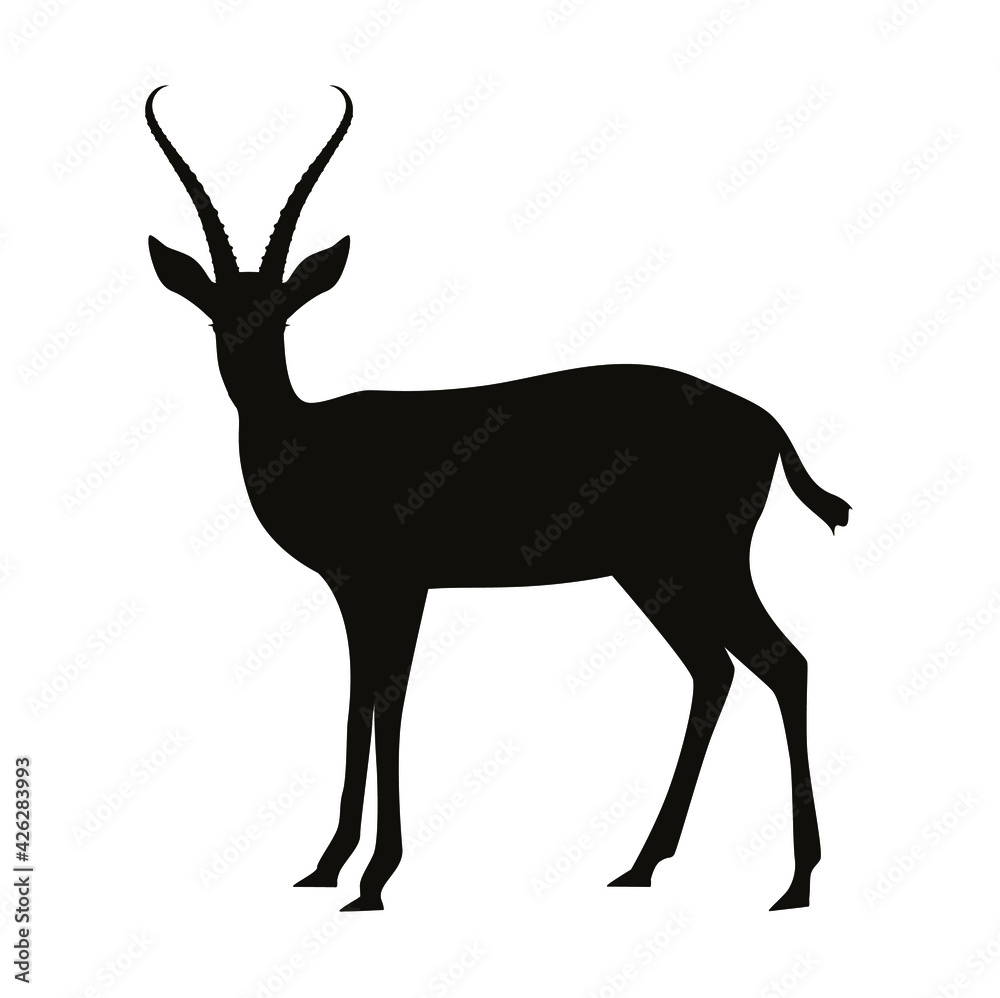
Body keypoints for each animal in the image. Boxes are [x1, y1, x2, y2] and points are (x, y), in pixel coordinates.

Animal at [146, 85, 850, 911]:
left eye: (283, 311)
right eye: (215, 310)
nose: (245, 366)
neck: (312, 436)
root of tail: (763, 419)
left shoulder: (396, 583)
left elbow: (386, 700)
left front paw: (373, 878)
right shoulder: (361, 589)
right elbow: (360, 700)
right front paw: (328, 867)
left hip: (704, 559)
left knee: (783, 663)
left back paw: (794, 883)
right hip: (653, 573)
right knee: (718, 671)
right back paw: (643, 865)